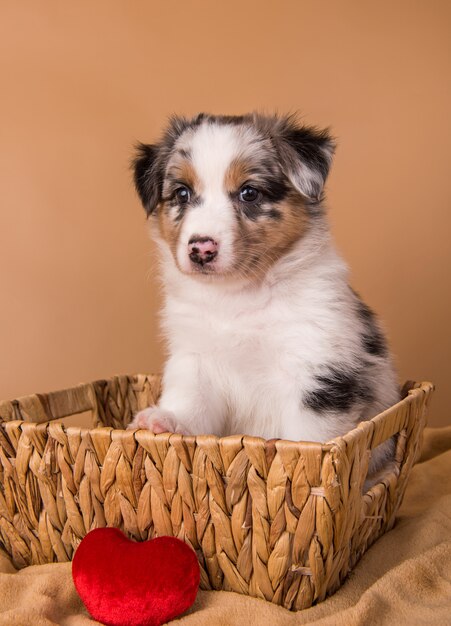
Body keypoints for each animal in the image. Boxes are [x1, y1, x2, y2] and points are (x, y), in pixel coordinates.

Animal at [129, 112, 400, 470]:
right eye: (182, 193)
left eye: (249, 193)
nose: (201, 249)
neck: (239, 295)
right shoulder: (196, 359)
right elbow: (192, 403)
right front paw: (165, 420)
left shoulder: (316, 367)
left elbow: (307, 437)